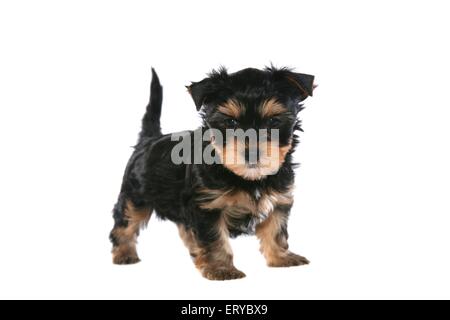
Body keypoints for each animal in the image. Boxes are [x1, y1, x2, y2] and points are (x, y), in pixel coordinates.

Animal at [109, 67, 314, 280]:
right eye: (230, 122)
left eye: (273, 121)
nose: (252, 153)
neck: (247, 178)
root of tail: (149, 140)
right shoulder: (208, 206)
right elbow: (215, 239)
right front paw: (221, 268)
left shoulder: (279, 199)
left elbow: (276, 229)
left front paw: (281, 257)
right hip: (135, 194)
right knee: (126, 222)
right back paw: (124, 253)